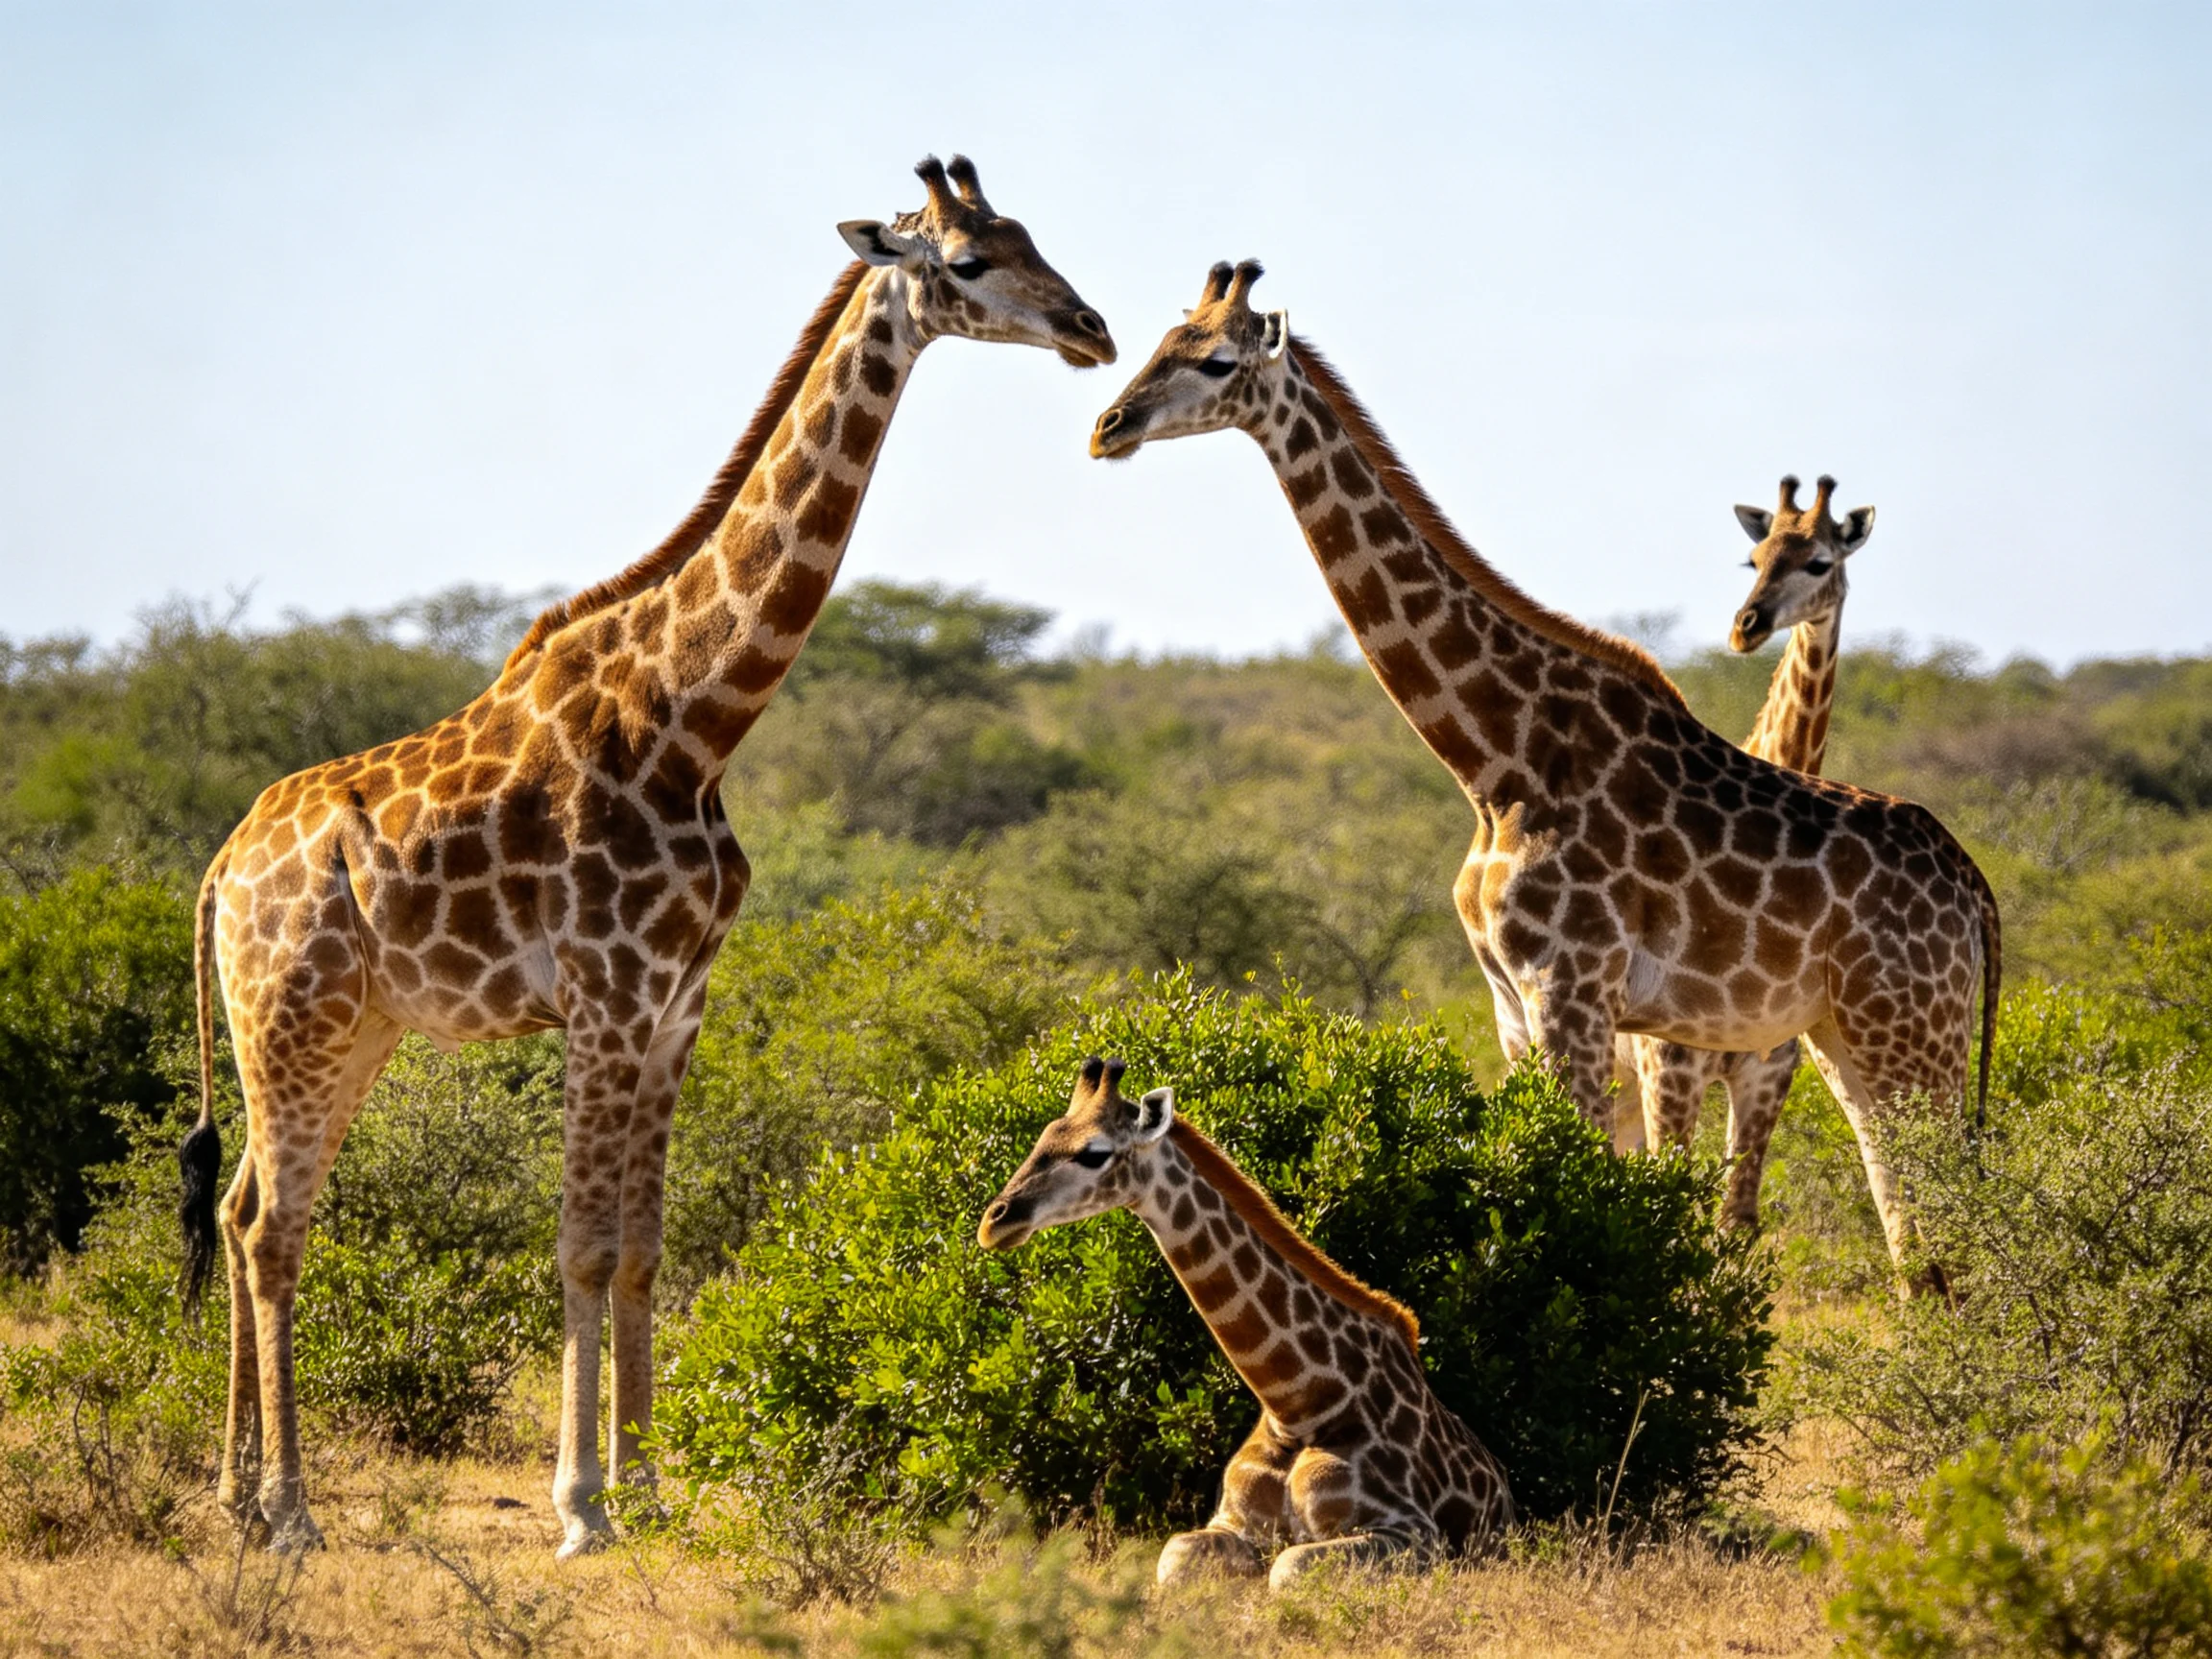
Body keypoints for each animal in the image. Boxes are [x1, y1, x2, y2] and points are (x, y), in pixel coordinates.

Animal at [172, 156, 1115, 1557]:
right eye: (966, 263)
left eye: (1029, 235)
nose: (1094, 331)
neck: (694, 717)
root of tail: (221, 870)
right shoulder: (608, 1002)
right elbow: (580, 1244)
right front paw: (581, 1509)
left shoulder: (679, 1008)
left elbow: (645, 1248)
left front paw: (654, 1491)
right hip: (290, 1016)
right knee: (279, 1228)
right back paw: (289, 1512)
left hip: (343, 1030)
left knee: (238, 1215)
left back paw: (235, 1493)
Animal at [978, 1057, 1513, 1590]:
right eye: (1043, 1139)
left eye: (1094, 1154)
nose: (993, 1222)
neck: (1298, 1406)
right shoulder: (1228, 1521)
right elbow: (1174, 1557)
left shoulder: (1415, 1532)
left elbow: (1287, 1568)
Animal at [1607, 473, 1874, 1232]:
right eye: (1752, 560)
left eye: (1820, 561)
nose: (1745, 626)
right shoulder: (1672, 1069)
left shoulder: (1765, 1071)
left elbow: (1737, 1221)